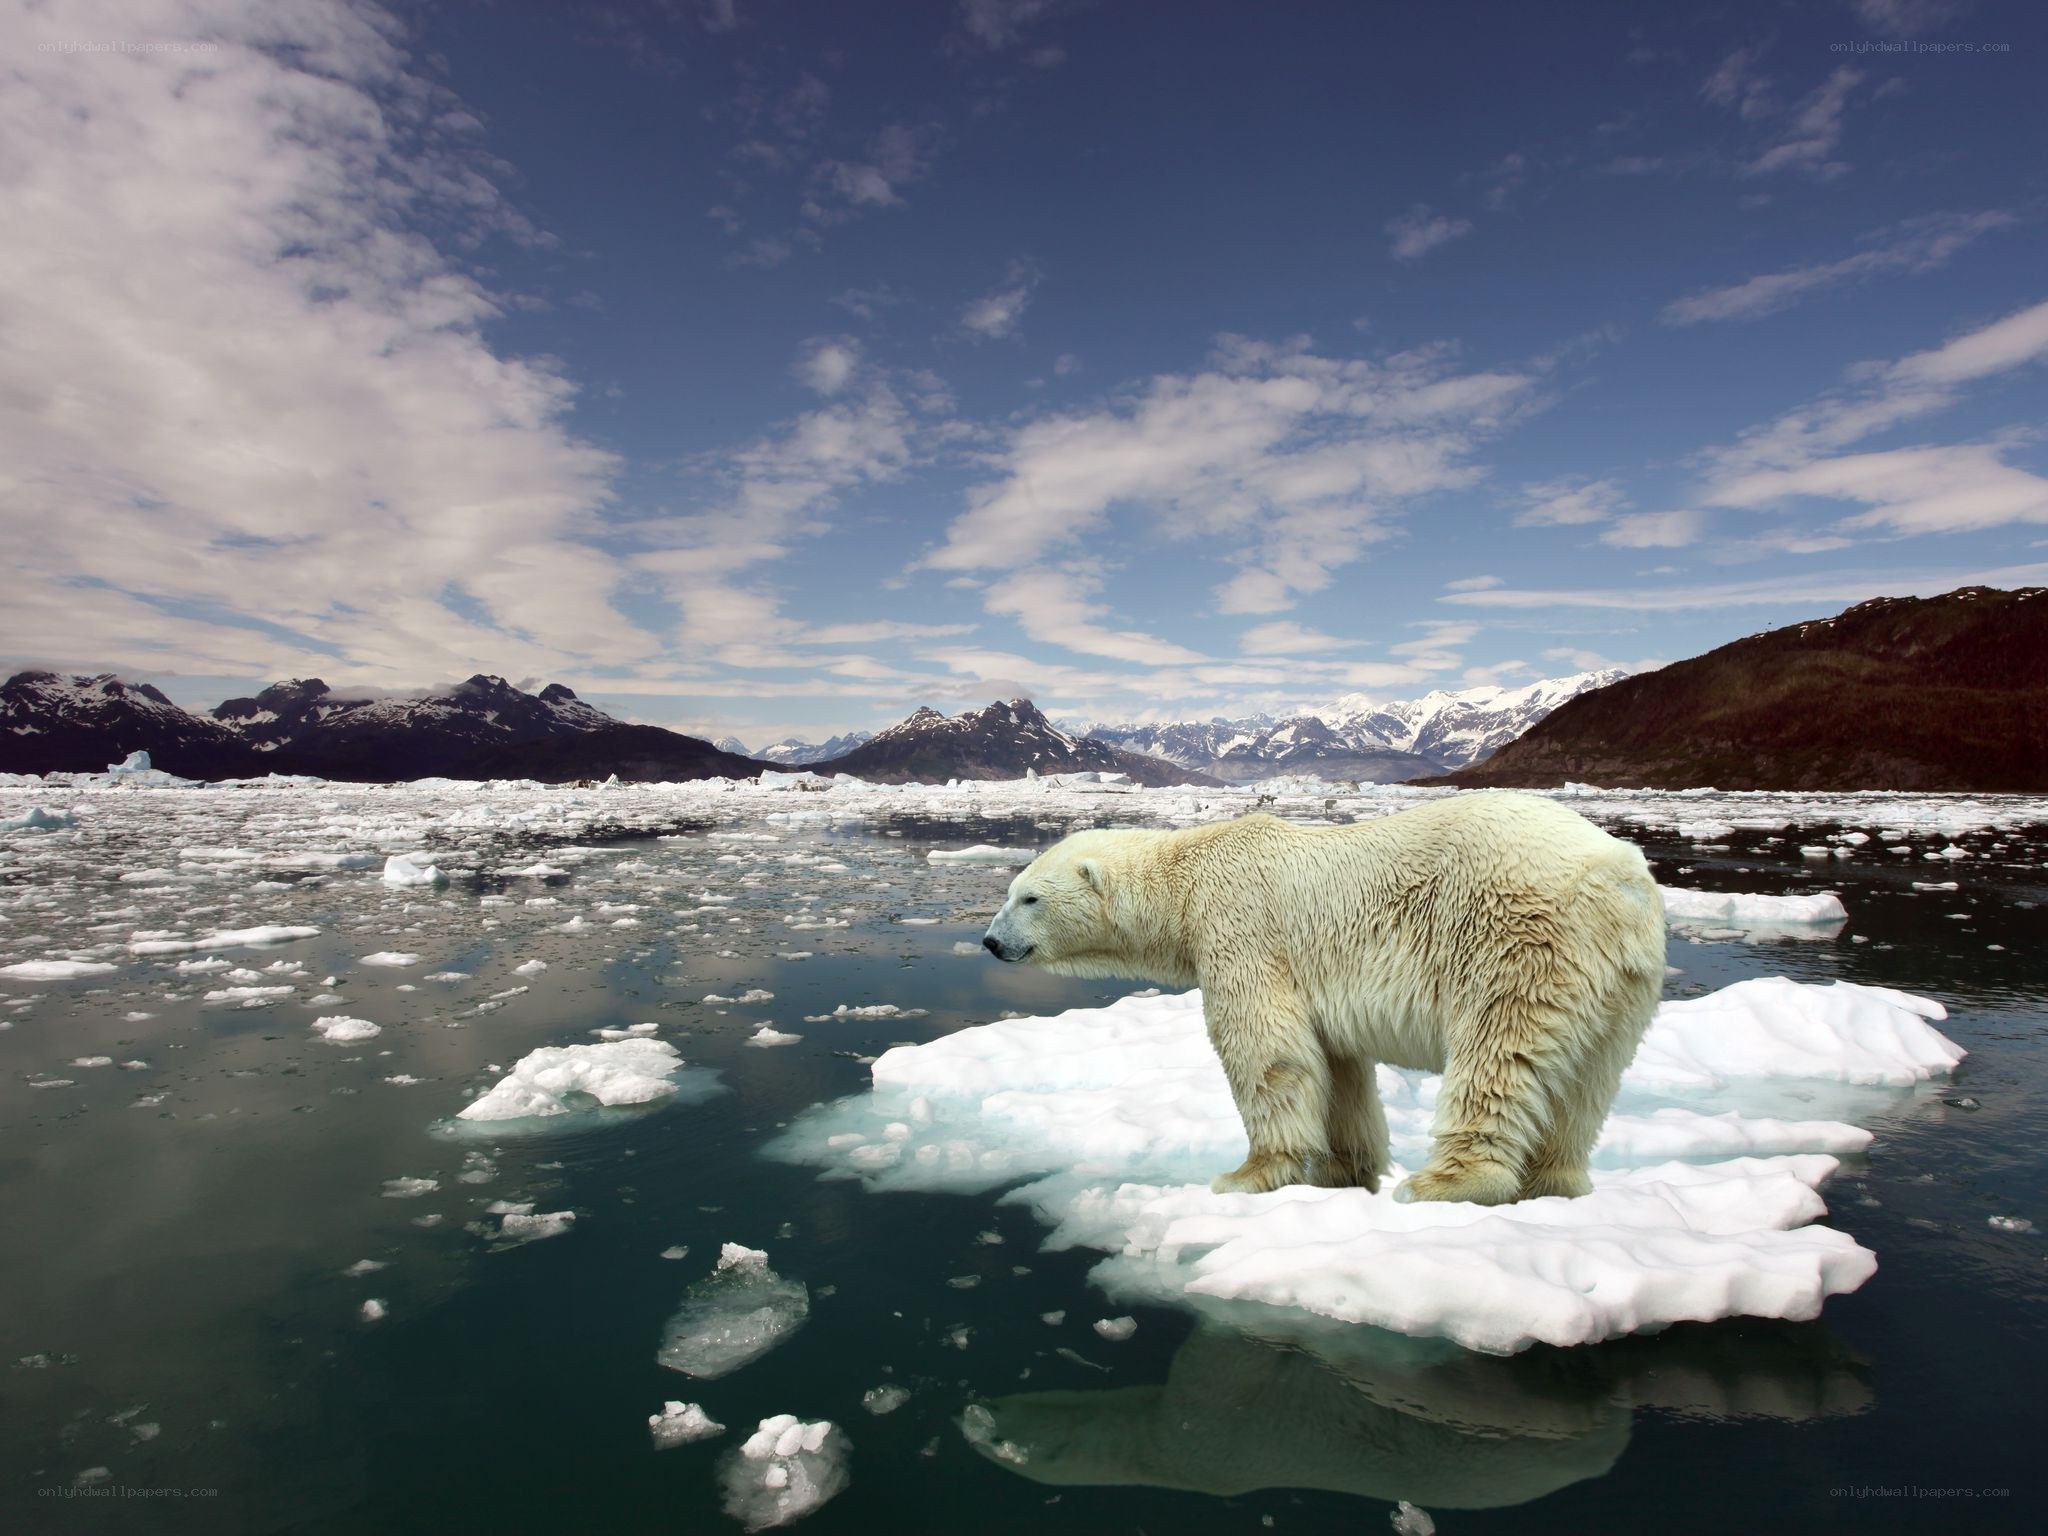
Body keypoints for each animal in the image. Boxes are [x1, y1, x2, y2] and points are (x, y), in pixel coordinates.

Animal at [980, 792, 1665, 1205]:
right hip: (1622, 982)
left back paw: (1444, 1183)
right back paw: (1554, 1183)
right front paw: (1345, 1171)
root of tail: (1620, 875)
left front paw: (1247, 1175)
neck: (1187, 876)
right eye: (1010, 891)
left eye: (1028, 898)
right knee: (1587, 1082)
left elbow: (1267, 1050)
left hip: (1518, 938)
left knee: (1498, 1052)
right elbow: (1337, 1069)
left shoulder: (1241, 929)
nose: (989, 941)